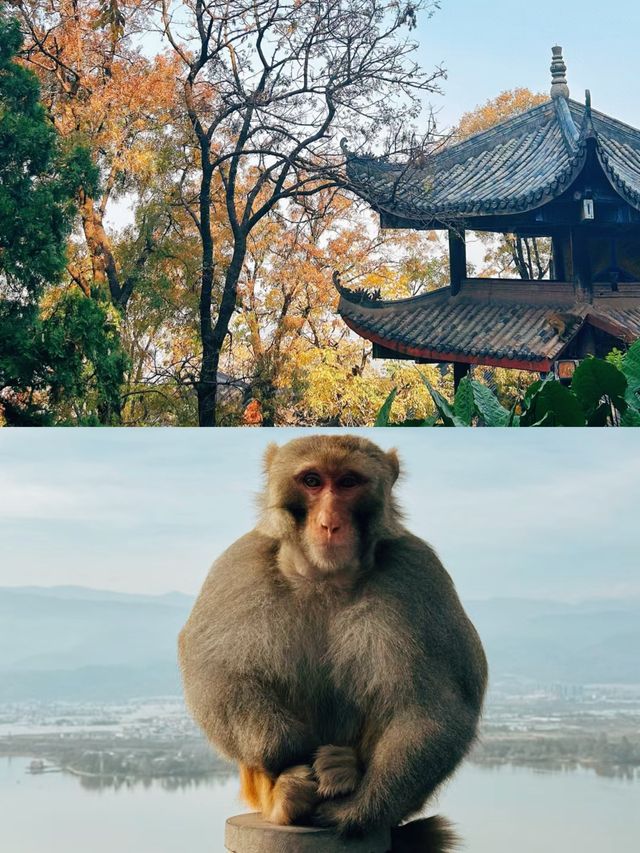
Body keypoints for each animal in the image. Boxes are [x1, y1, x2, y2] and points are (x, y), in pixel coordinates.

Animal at [178, 436, 488, 848]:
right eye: (312, 481)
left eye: (348, 482)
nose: (329, 524)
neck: (324, 577)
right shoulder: (238, 565)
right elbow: (214, 670)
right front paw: (290, 749)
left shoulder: (420, 572)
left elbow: (436, 707)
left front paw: (359, 809)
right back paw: (287, 796)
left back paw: (344, 771)